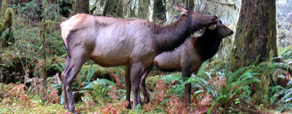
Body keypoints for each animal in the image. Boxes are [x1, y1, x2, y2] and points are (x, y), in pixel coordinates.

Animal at [59, 6, 217, 113]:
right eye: (198, 12)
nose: (214, 17)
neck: (158, 41)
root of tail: (63, 25)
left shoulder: (128, 61)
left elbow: (128, 84)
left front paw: (129, 105)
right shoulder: (137, 59)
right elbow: (135, 84)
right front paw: (136, 106)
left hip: (70, 55)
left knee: (63, 74)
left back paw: (65, 105)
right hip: (80, 53)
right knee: (69, 77)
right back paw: (72, 108)